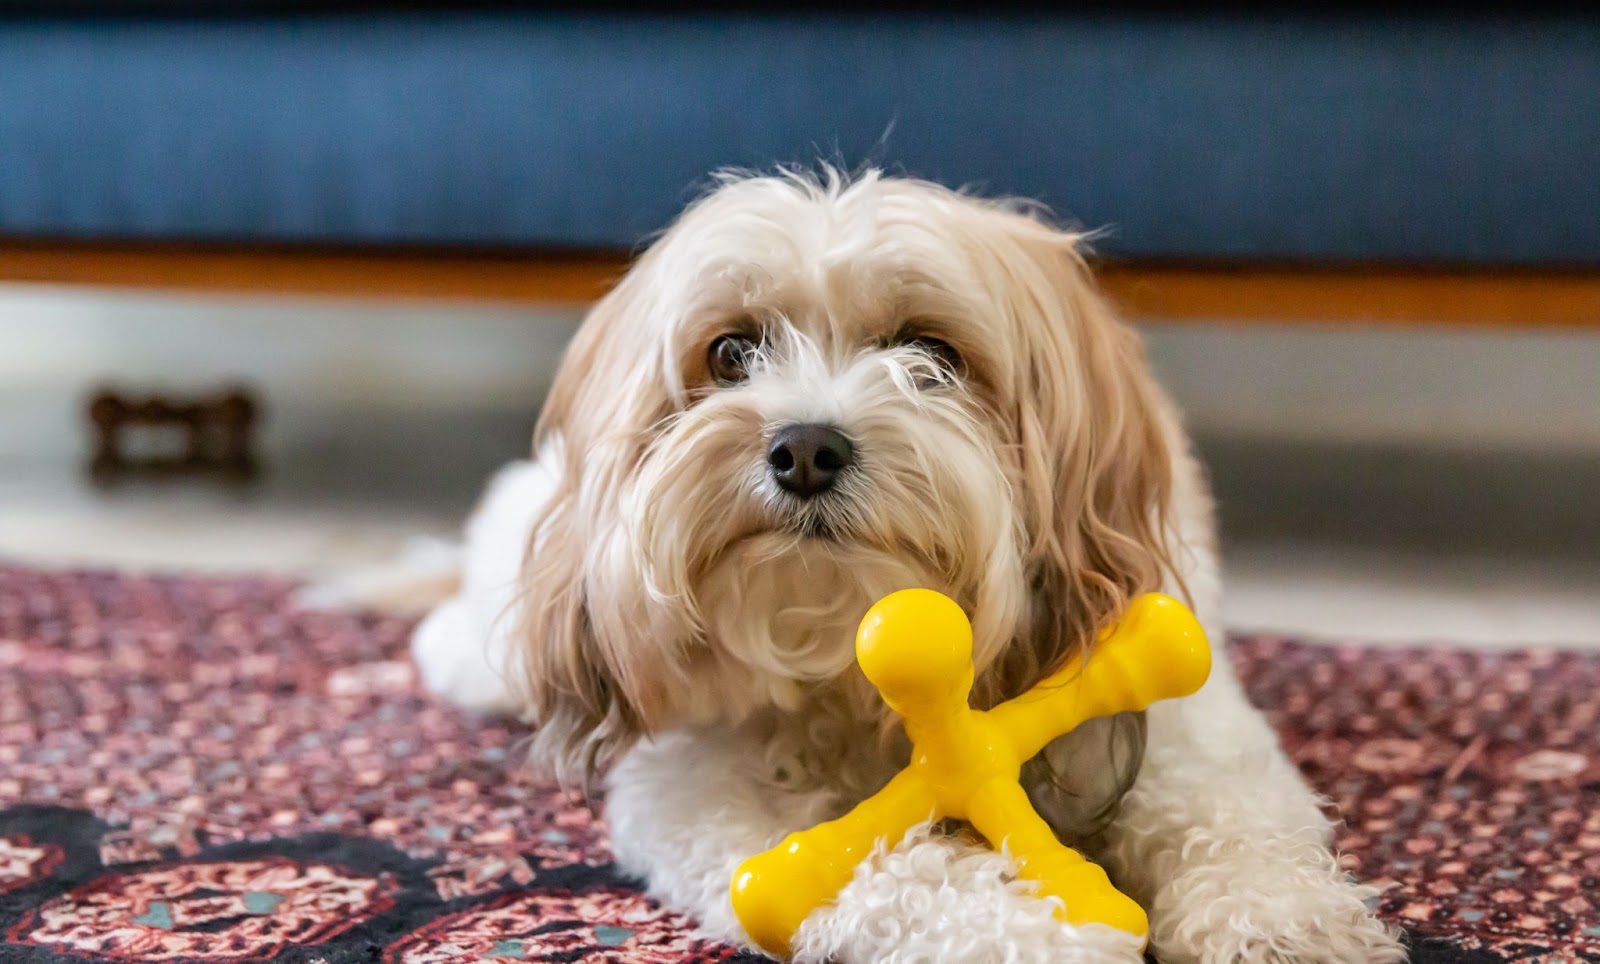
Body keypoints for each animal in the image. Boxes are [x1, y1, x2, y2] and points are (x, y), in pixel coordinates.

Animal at [409, 168, 1401, 954]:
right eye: (730, 351)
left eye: (930, 351)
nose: (805, 449)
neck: (853, 670)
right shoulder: (705, 794)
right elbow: (886, 873)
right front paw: (1033, 936)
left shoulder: (1181, 714)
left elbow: (1233, 823)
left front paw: (1281, 925)